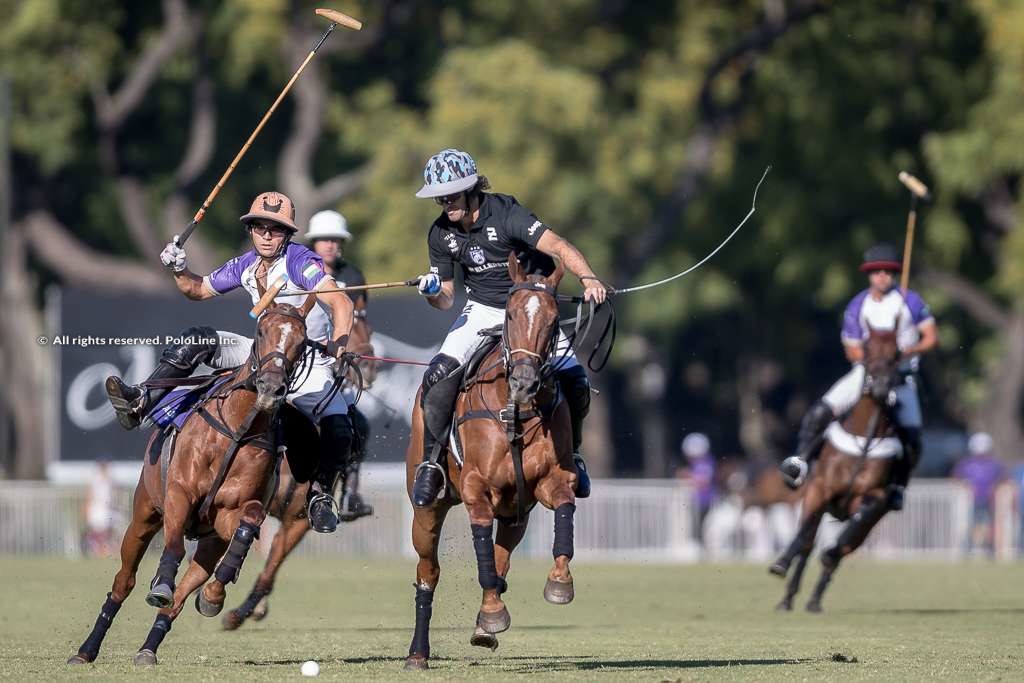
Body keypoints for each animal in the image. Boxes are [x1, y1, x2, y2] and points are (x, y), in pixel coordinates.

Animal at [69, 305, 311, 667]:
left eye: (302, 341)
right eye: (261, 331)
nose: (270, 387)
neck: (237, 428)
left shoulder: (228, 515)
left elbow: (250, 518)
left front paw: (212, 595)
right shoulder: (179, 494)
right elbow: (173, 549)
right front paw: (162, 582)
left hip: (210, 543)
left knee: (179, 600)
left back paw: (150, 647)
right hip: (143, 515)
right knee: (124, 581)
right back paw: (87, 650)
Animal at [407, 253, 585, 671]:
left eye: (554, 319)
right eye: (511, 315)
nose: (525, 382)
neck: (514, 411)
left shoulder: (552, 481)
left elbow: (563, 519)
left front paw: (559, 583)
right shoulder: (477, 489)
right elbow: (482, 555)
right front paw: (492, 614)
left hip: (515, 512)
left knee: (502, 559)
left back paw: (483, 625)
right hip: (427, 510)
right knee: (428, 572)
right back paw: (418, 653)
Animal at [770, 325, 905, 614]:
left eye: (897, 354)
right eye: (867, 349)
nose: (881, 388)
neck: (864, 441)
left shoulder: (870, 497)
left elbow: (859, 518)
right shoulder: (818, 490)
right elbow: (805, 536)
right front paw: (781, 563)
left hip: (867, 525)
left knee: (842, 550)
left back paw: (814, 598)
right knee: (809, 545)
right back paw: (788, 598)